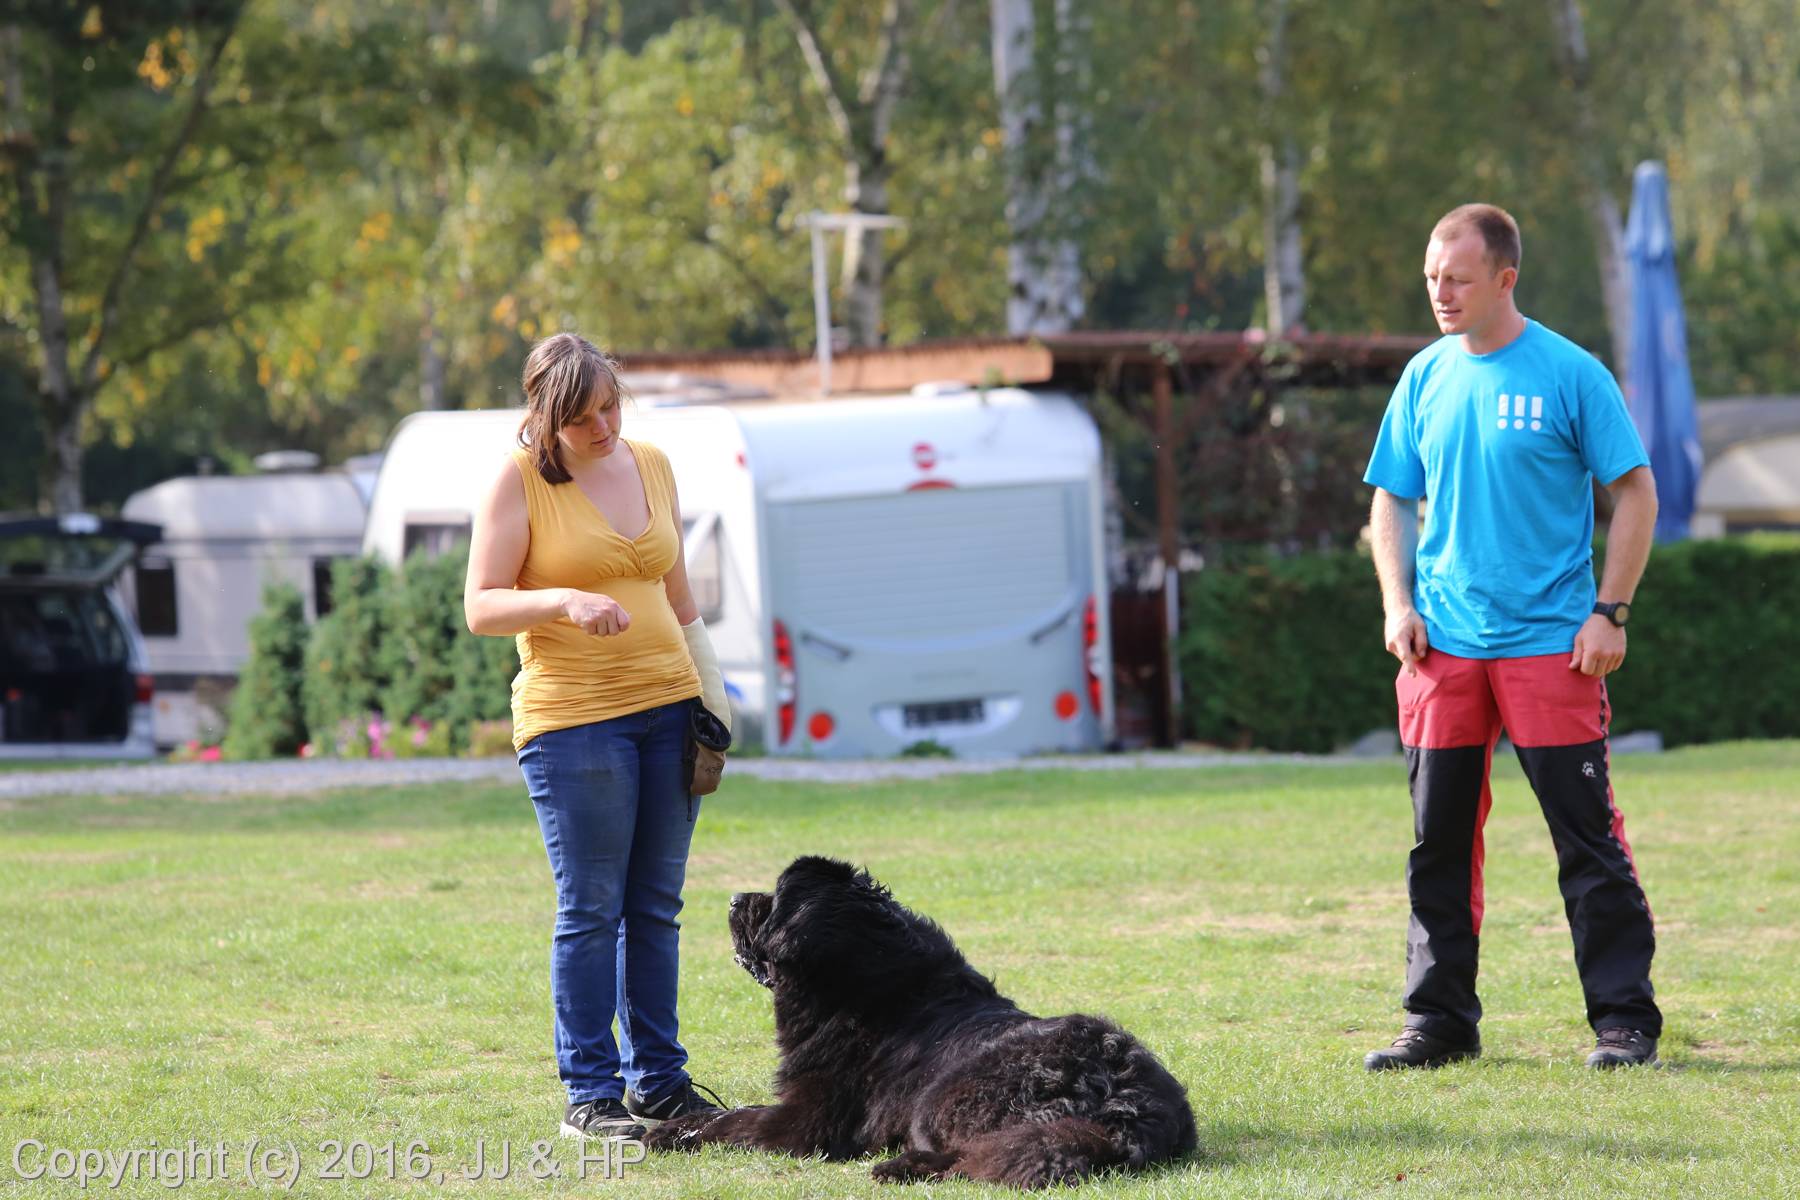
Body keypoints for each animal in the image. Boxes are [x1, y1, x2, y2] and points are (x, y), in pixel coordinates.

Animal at [644, 855, 1197, 1188]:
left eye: (773, 901)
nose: (735, 898)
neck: (856, 984)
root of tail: (1123, 1094)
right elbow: (731, 1111)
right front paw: (672, 1125)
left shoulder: (806, 1121)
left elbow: (736, 1119)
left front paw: (665, 1135)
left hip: (942, 1097)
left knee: (981, 1158)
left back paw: (900, 1165)